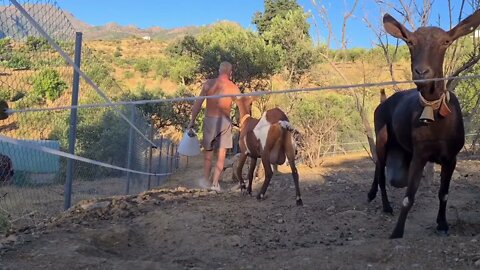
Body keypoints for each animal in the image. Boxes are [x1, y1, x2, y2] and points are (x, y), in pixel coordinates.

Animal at [368, 10, 480, 238]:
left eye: (446, 41)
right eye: (410, 41)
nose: (421, 72)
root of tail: (383, 102)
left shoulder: (451, 158)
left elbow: (444, 193)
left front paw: (442, 223)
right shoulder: (420, 155)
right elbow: (408, 197)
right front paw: (397, 232)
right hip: (382, 137)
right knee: (381, 172)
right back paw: (385, 205)